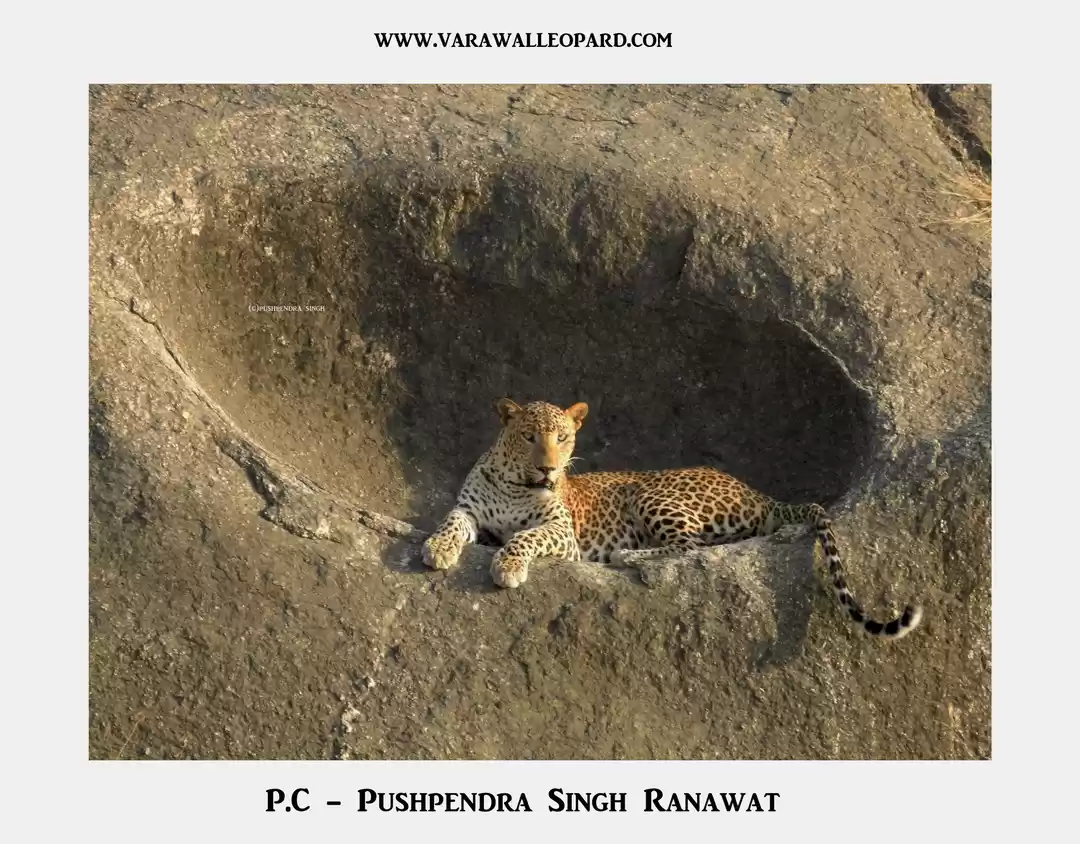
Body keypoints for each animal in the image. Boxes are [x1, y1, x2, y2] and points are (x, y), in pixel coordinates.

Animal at [422, 398, 923, 641]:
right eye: (529, 437)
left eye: (562, 438)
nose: (548, 468)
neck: (515, 483)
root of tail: (758, 493)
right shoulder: (469, 508)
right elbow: (451, 522)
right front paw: (438, 548)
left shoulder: (562, 534)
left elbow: (524, 538)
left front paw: (508, 566)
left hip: (652, 494)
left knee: (689, 549)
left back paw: (628, 555)